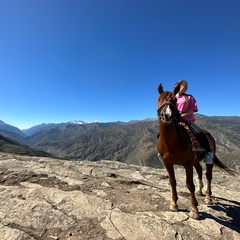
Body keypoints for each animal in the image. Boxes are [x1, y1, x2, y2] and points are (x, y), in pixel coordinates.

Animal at [157, 84, 233, 219]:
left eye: (174, 100)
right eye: (159, 99)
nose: (167, 115)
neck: (171, 142)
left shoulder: (187, 164)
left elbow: (189, 185)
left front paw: (194, 210)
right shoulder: (167, 163)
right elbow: (172, 182)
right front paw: (174, 204)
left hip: (208, 158)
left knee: (208, 176)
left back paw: (208, 197)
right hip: (195, 160)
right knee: (199, 170)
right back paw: (200, 190)